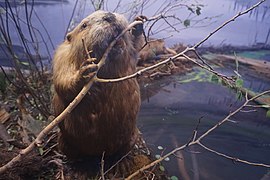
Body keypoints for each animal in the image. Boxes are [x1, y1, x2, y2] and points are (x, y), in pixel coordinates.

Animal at [52, 10, 144, 158]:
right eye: (84, 25)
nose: (109, 16)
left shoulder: (129, 53)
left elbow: (136, 49)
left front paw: (138, 25)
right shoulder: (61, 57)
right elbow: (62, 82)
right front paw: (87, 70)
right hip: (64, 142)